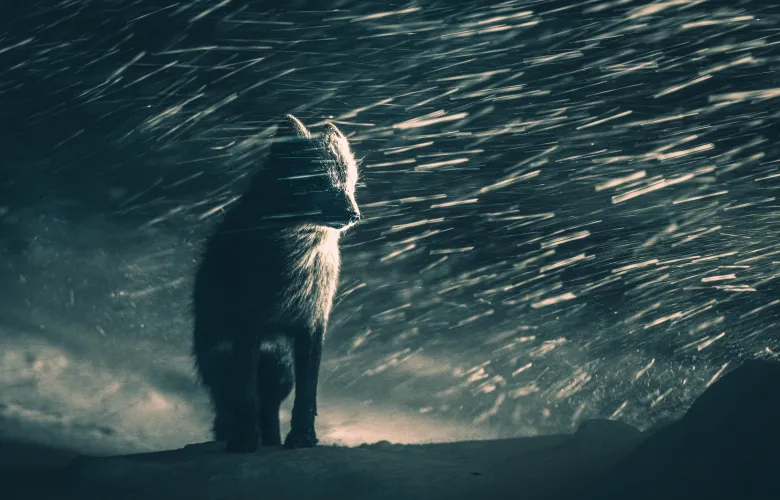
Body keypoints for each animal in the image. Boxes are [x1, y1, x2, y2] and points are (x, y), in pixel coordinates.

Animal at [192, 114, 361, 452]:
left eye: (350, 183)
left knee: (269, 410)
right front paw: (245, 443)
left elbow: (307, 396)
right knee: (232, 405)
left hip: (280, 374)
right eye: (318, 181)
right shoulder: (249, 324)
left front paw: (303, 439)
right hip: (227, 365)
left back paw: (271, 441)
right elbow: (247, 397)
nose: (354, 214)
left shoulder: (312, 325)